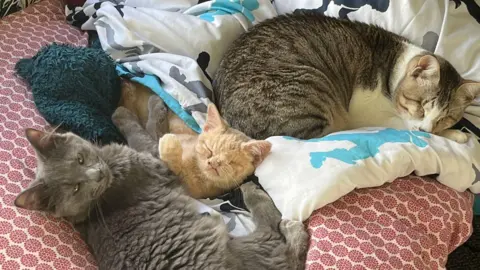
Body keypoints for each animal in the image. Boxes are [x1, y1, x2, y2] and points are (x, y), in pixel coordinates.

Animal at [15, 128, 310, 270]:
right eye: (76, 188)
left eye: (79, 159)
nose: (97, 174)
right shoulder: (156, 163)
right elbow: (144, 135)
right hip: (245, 247)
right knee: (276, 237)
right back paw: (274, 211)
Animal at [214, 12, 480, 143]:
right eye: (420, 106)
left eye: (446, 117)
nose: (427, 130)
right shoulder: (371, 113)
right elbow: (405, 125)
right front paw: (456, 135)